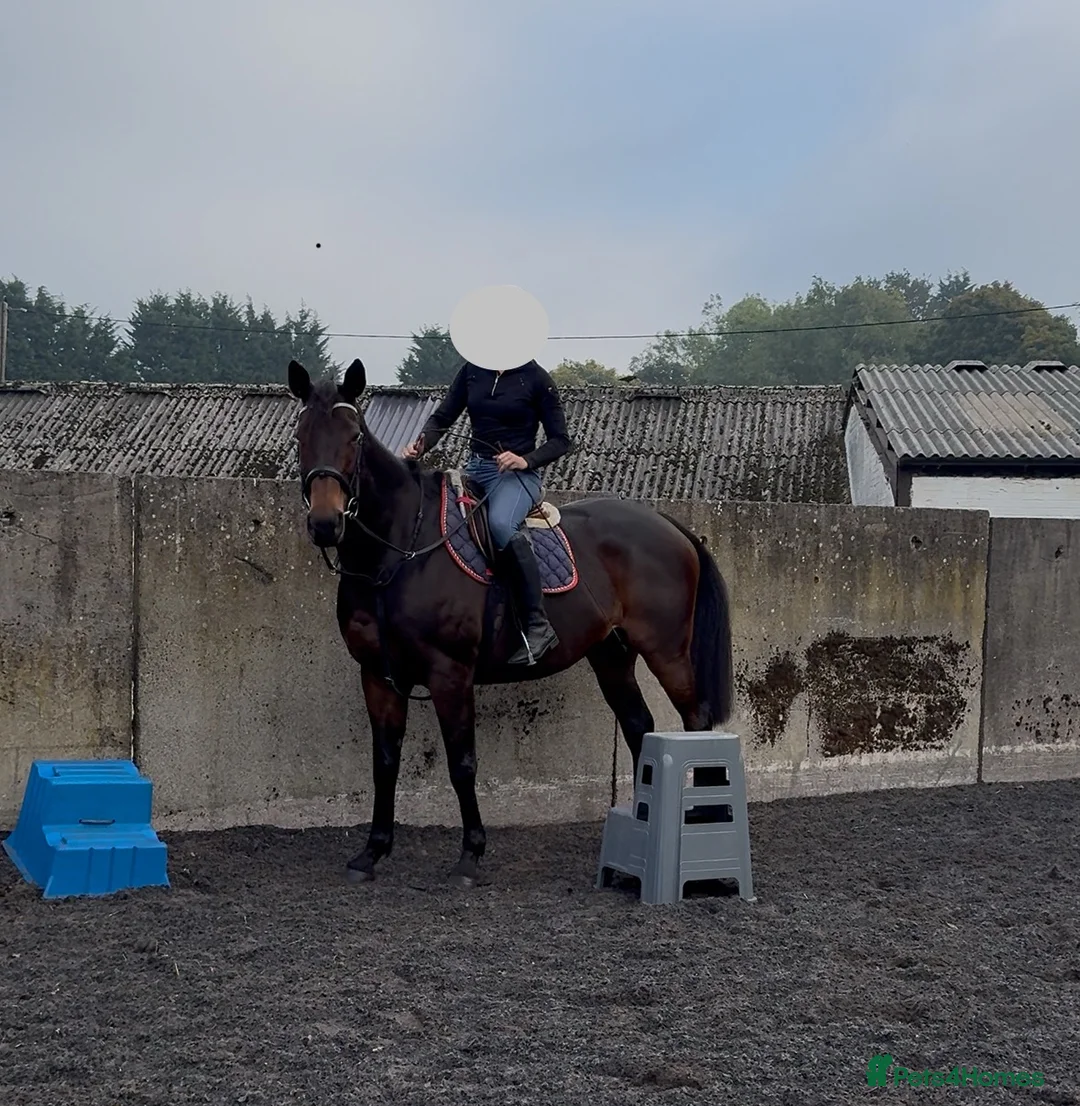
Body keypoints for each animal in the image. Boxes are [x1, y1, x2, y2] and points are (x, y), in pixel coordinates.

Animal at [287, 357, 734, 887]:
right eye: (300, 434)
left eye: (354, 436)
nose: (325, 523)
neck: (399, 552)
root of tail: (669, 525)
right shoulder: (378, 676)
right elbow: (384, 762)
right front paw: (372, 852)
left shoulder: (450, 674)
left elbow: (462, 764)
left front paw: (470, 855)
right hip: (611, 654)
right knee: (638, 726)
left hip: (667, 651)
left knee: (697, 722)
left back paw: (707, 826)